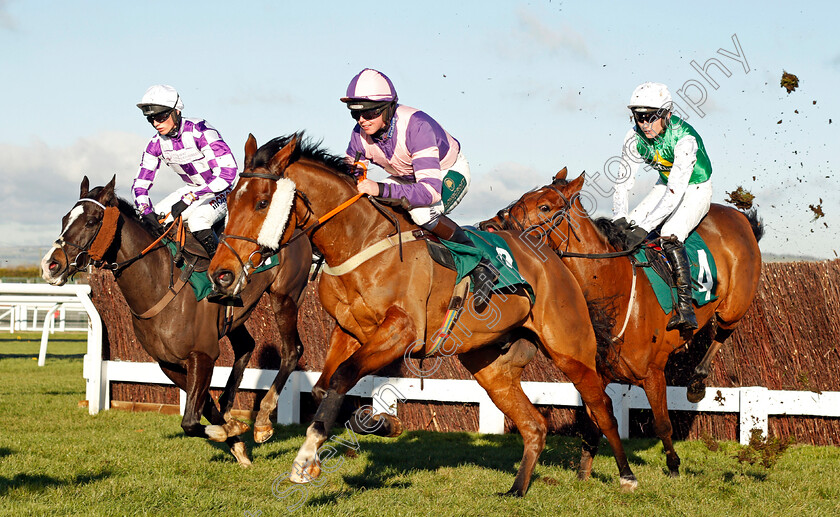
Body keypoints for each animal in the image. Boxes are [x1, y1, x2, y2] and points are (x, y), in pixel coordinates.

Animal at [40, 175, 312, 466]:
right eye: (64, 218)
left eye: (91, 221)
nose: (50, 265)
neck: (159, 284)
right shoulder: (169, 364)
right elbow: (204, 407)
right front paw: (234, 436)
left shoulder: (202, 355)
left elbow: (190, 422)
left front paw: (229, 431)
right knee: (246, 346)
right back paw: (229, 405)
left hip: (285, 296)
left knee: (292, 351)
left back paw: (262, 421)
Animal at [208, 134, 636, 496]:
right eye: (229, 202)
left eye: (262, 202)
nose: (221, 273)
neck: (361, 240)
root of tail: (555, 259)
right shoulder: (348, 331)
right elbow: (322, 386)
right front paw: (378, 425)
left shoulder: (401, 332)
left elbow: (343, 378)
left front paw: (305, 459)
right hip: (491, 367)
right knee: (535, 425)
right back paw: (517, 489)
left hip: (571, 351)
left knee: (603, 408)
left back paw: (627, 477)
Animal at [480, 167, 760, 474]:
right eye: (521, 198)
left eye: (544, 207)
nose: (488, 226)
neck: (613, 288)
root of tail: (739, 216)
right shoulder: (596, 375)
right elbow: (596, 424)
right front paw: (584, 473)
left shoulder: (653, 373)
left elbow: (663, 424)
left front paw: (674, 466)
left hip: (735, 305)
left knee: (724, 330)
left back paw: (697, 381)